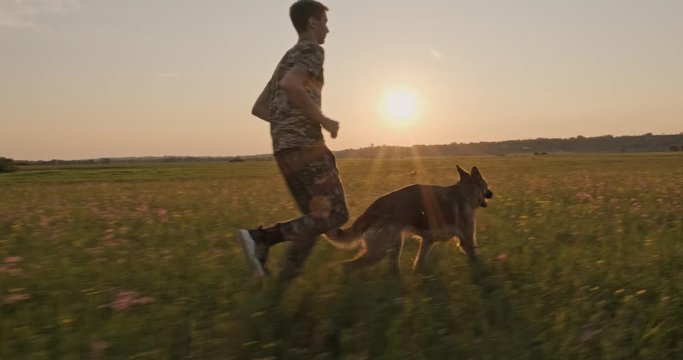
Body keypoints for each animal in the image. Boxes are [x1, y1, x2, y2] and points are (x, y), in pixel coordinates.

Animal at [328, 166, 494, 276]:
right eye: (486, 185)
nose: (492, 193)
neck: (464, 194)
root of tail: (370, 210)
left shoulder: (428, 241)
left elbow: (419, 262)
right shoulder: (467, 239)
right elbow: (475, 256)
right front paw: (481, 271)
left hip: (394, 247)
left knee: (391, 269)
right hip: (380, 251)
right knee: (348, 266)